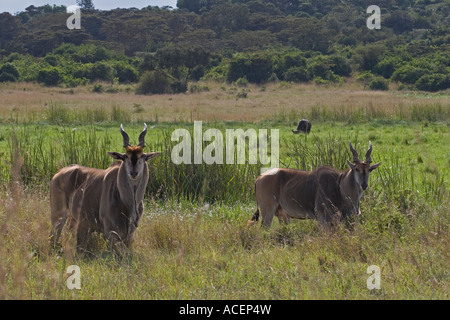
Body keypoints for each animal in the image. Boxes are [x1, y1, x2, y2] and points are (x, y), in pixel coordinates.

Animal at [49, 124, 160, 254]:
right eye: (125, 156)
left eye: (142, 156)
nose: (133, 173)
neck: (128, 204)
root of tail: (58, 173)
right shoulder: (109, 233)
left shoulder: (129, 235)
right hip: (58, 215)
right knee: (53, 237)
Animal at [248, 141, 382, 229]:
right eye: (357, 169)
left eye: (369, 170)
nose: (364, 185)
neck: (339, 185)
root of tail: (258, 178)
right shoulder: (323, 219)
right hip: (267, 212)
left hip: (281, 214)